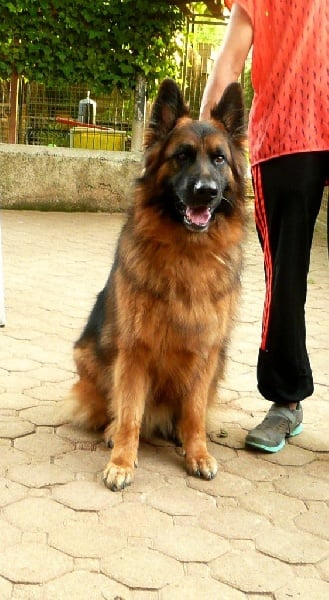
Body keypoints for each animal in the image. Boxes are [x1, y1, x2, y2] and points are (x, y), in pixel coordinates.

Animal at [67, 79, 246, 490]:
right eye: (181, 156)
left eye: (219, 159)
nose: (206, 191)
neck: (187, 253)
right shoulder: (135, 352)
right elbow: (130, 412)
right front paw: (121, 462)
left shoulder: (206, 352)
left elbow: (194, 413)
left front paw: (197, 453)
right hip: (88, 355)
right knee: (113, 408)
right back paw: (111, 431)